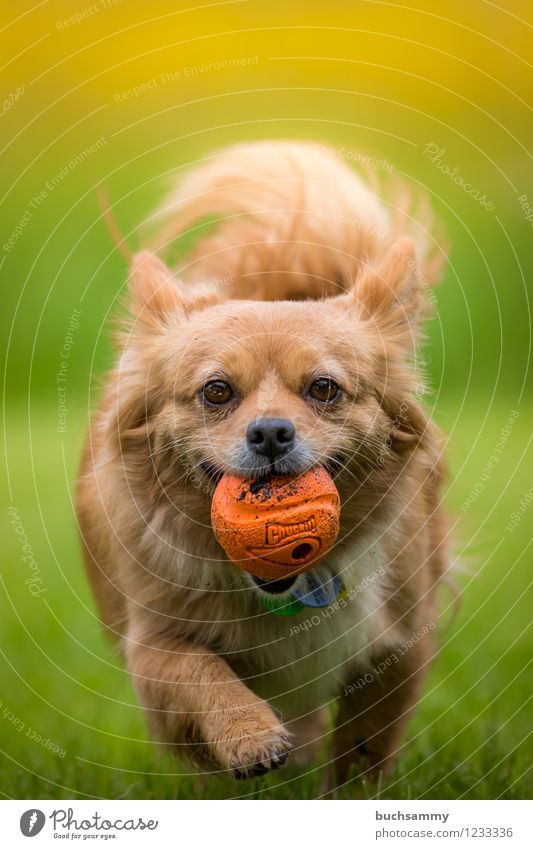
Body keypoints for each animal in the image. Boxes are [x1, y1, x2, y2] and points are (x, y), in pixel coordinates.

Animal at [76, 141, 448, 788]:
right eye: (217, 392)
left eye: (324, 388)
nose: (271, 431)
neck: (284, 590)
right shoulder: (150, 647)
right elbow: (198, 671)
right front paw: (249, 736)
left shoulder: (400, 646)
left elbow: (363, 750)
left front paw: (347, 797)